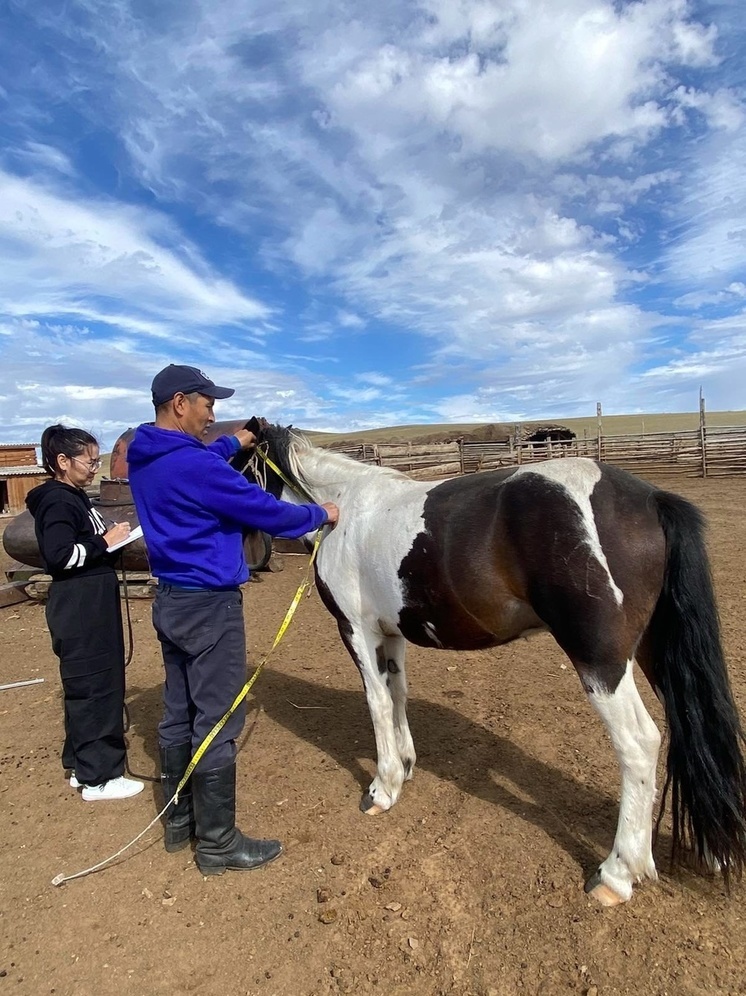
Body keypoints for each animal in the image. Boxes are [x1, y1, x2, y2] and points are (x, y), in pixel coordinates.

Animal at [248, 418, 744, 904]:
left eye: (237, 461)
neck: (343, 508)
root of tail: (650, 499)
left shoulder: (356, 629)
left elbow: (378, 704)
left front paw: (383, 788)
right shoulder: (391, 635)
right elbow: (398, 694)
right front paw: (406, 766)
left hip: (601, 660)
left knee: (640, 744)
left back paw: (617, 874)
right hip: (654, 652)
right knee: (691, 727)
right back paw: (713, 848)